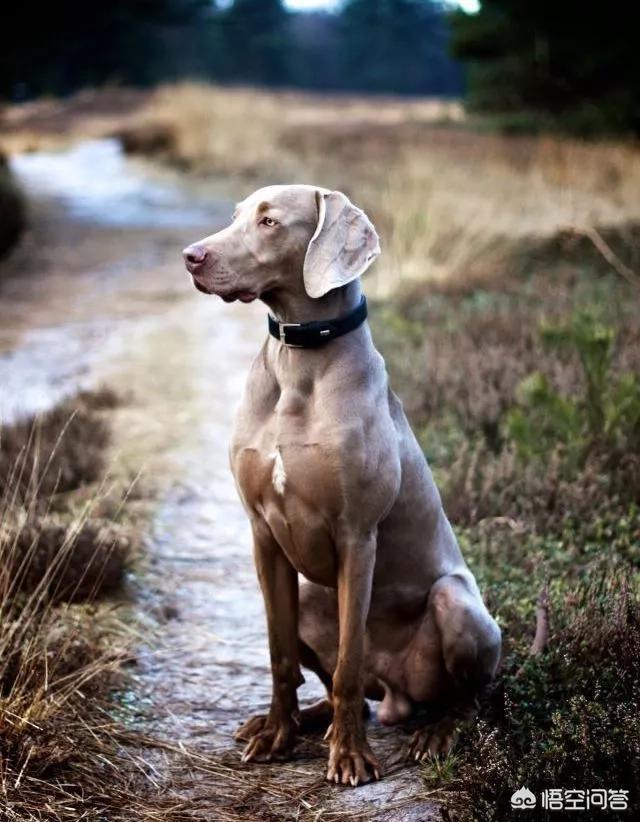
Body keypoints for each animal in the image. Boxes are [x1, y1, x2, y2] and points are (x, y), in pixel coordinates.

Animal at [182, 183, 502, 788]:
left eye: (269, 222)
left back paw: (433, 733)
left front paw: (351, 757)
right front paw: (277, 734)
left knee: (465, 697)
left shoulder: (357, 534)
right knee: (328, 685)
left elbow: (350, 661)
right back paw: (302, 720)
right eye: (236, 215)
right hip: (311, 594)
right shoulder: (263, 535)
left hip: (457, 604)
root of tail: (396, 695)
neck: (298, 360)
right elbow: (279, 652)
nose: (191, 256)